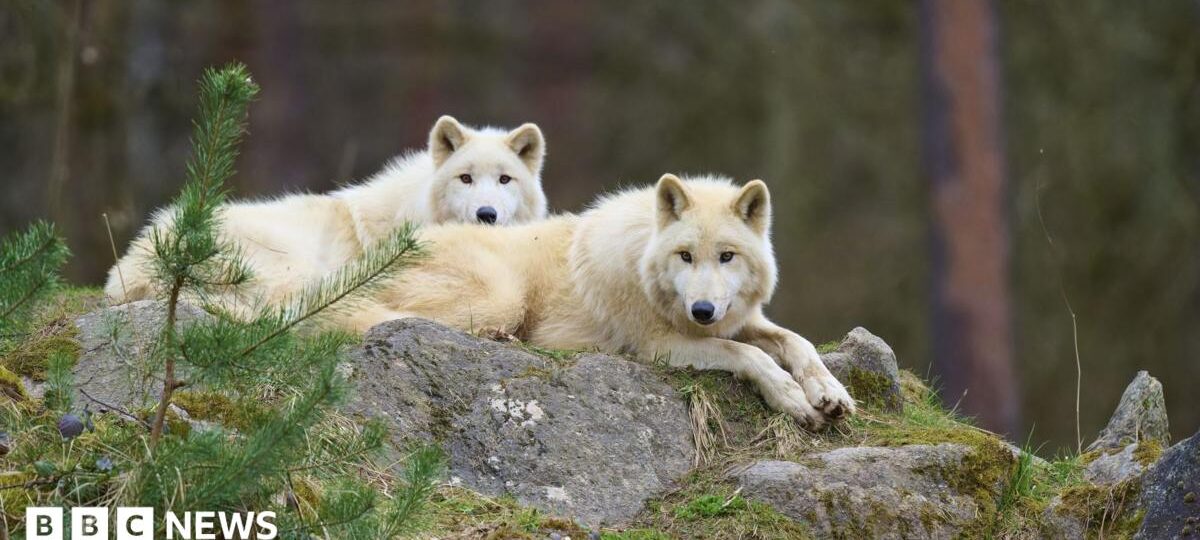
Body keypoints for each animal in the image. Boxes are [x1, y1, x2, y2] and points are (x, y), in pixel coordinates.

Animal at [348, 174, 855, 428]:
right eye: (685, 256)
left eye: (727, 256)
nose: (702, 311)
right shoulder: (657, 345)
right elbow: (747, 354)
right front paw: (791, 398)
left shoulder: (735, 320)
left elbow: (796, 342)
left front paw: (829, 391)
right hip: (501, 297)